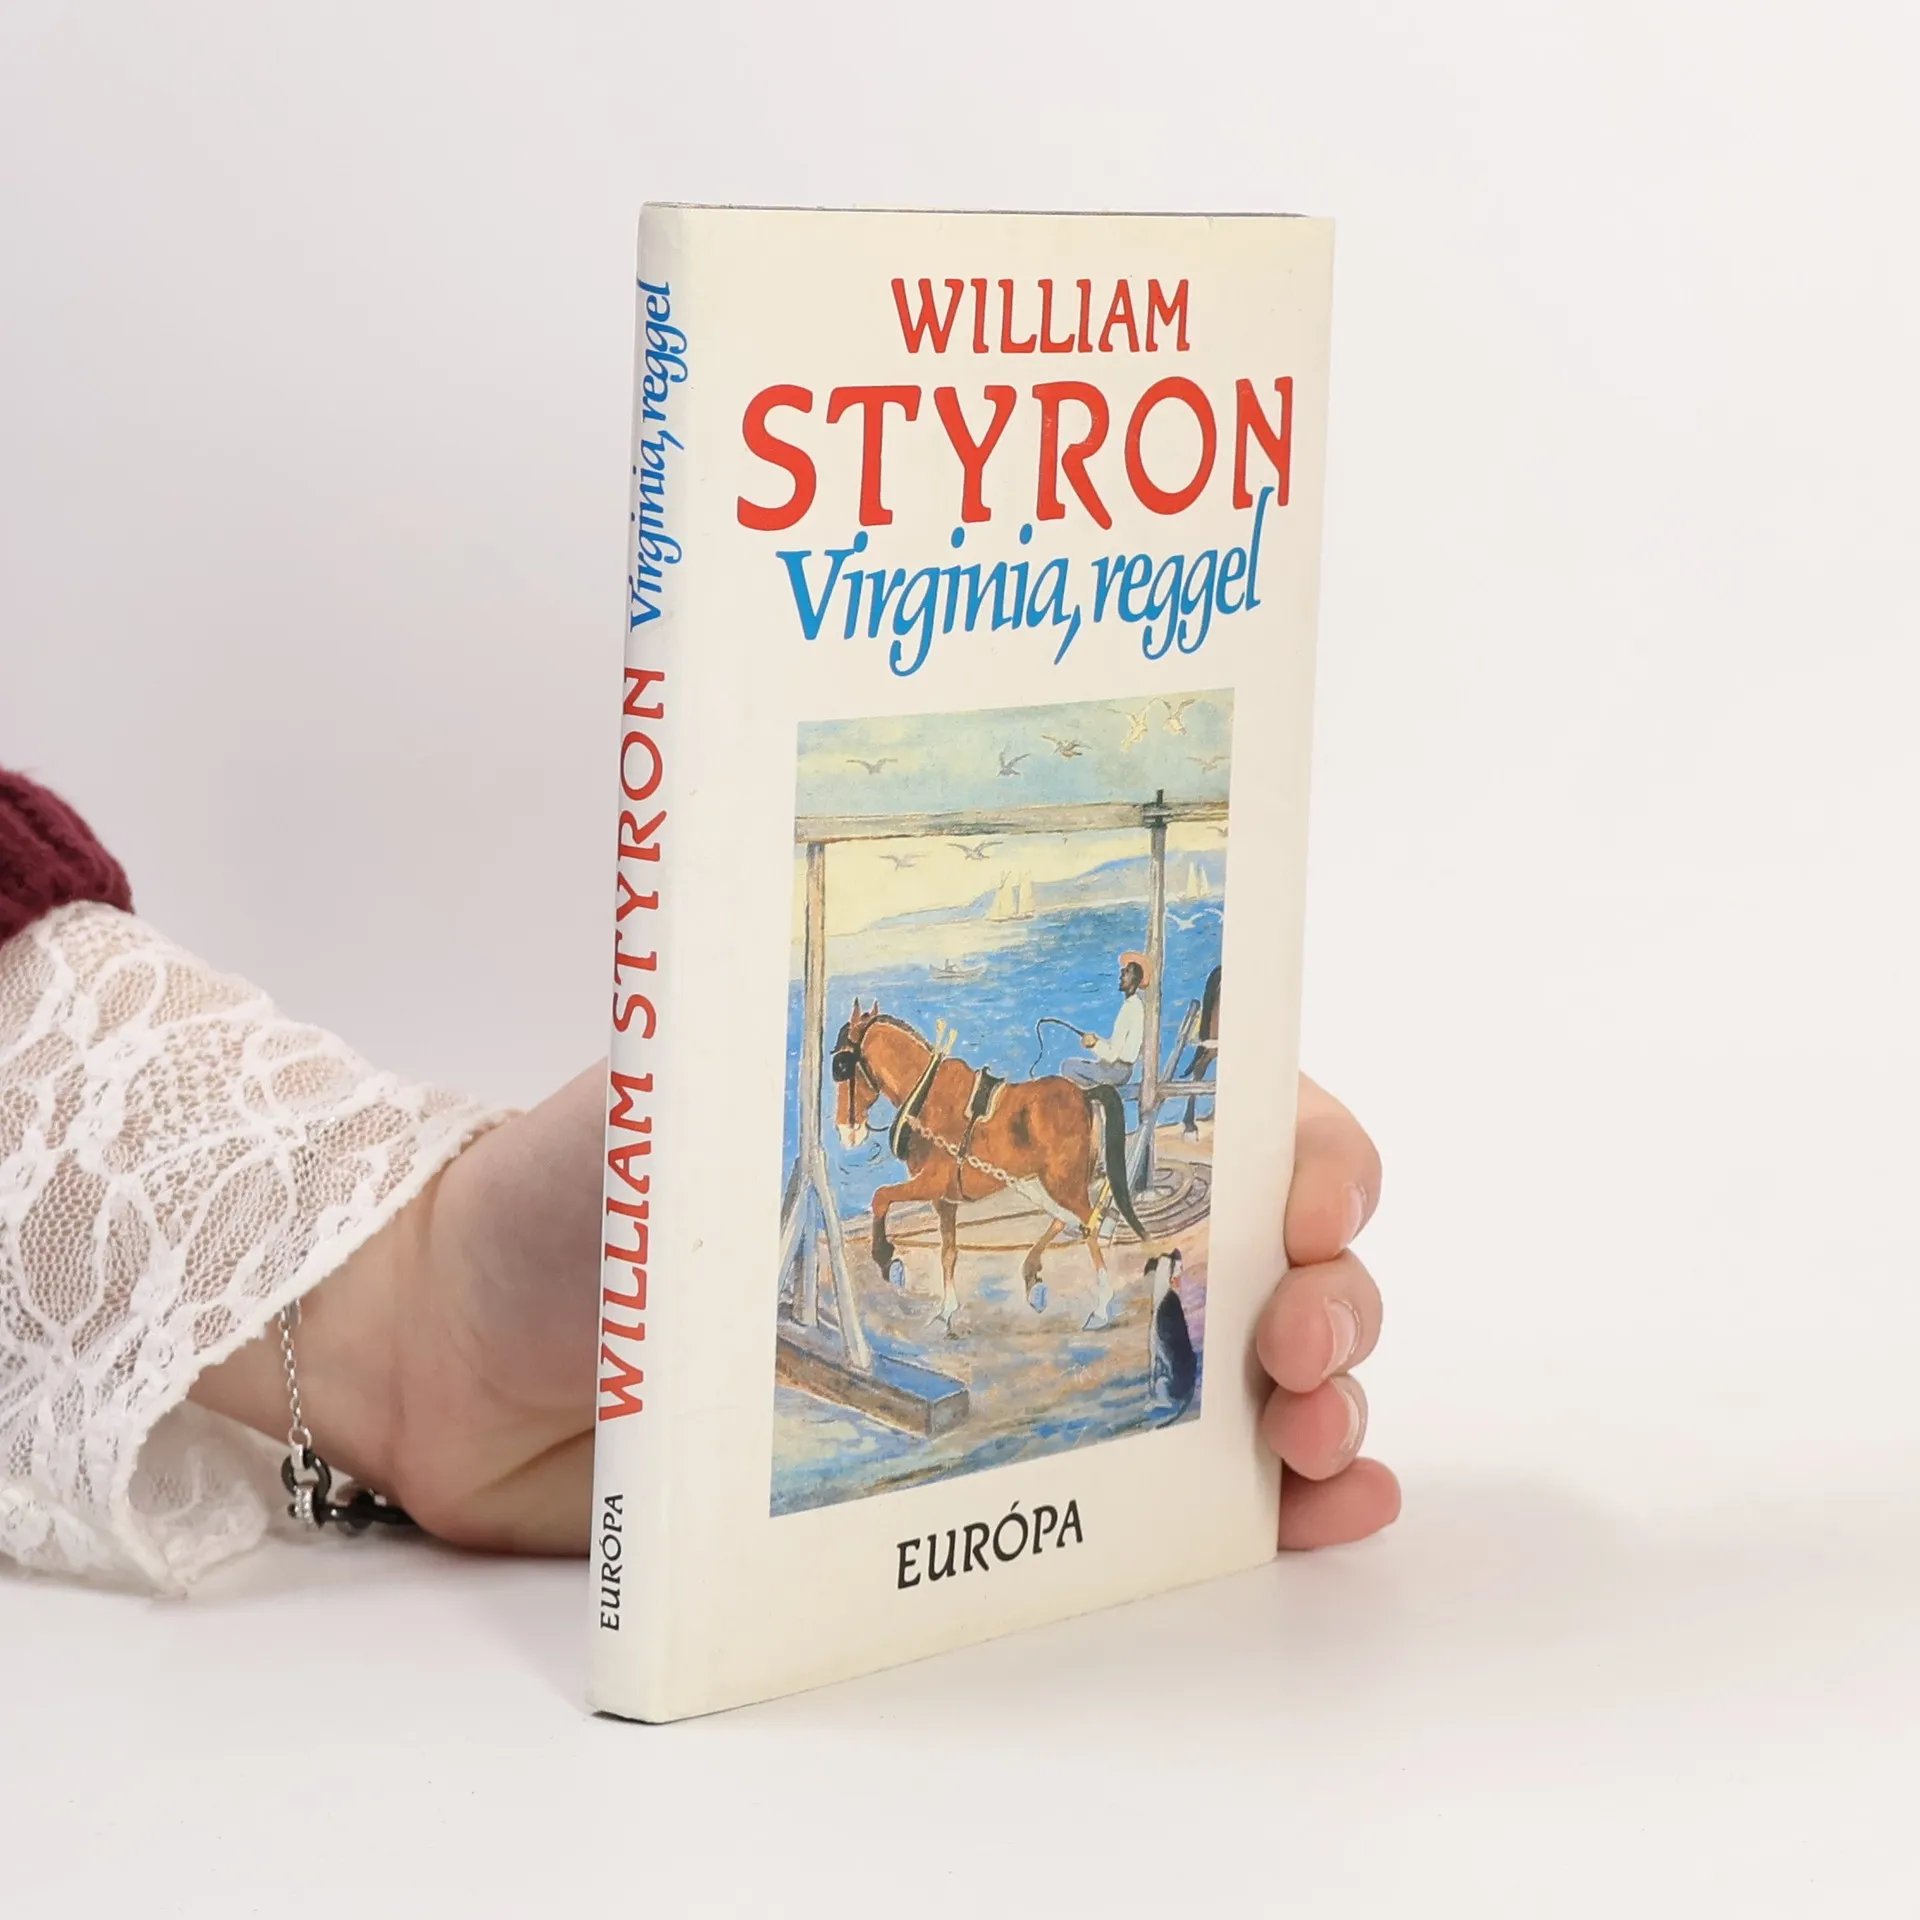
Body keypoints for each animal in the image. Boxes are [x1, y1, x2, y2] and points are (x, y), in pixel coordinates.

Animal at [830, 1001, 1147, 1333]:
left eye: (841, 1066)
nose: (846, 1131)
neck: (925, 1096)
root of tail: (1084, 1094)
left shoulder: (931, 1182)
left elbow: (880, 1197)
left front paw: (887, 1261)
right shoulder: (943, 1198)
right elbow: (948, 1252)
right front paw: (946, 1311)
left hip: (1062, 1181)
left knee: (1088, 1224)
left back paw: (1100, 1308)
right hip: (1047, 1180)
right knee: (1065, 1219)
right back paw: (1032, 1275)